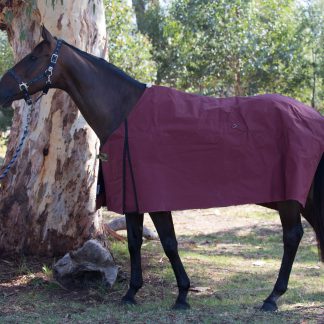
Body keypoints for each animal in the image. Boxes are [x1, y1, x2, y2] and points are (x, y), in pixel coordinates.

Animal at [0, 27, 322, 312]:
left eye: (34, 57)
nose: (2, 87)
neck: (124, 112)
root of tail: (313, 116)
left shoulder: (155, 196)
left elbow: (168, 243)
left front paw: (182, 295)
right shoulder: (132, 197)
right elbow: (134, 242)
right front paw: (132, 293)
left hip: (289, 199)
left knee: (292, 237)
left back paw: (272, 298)